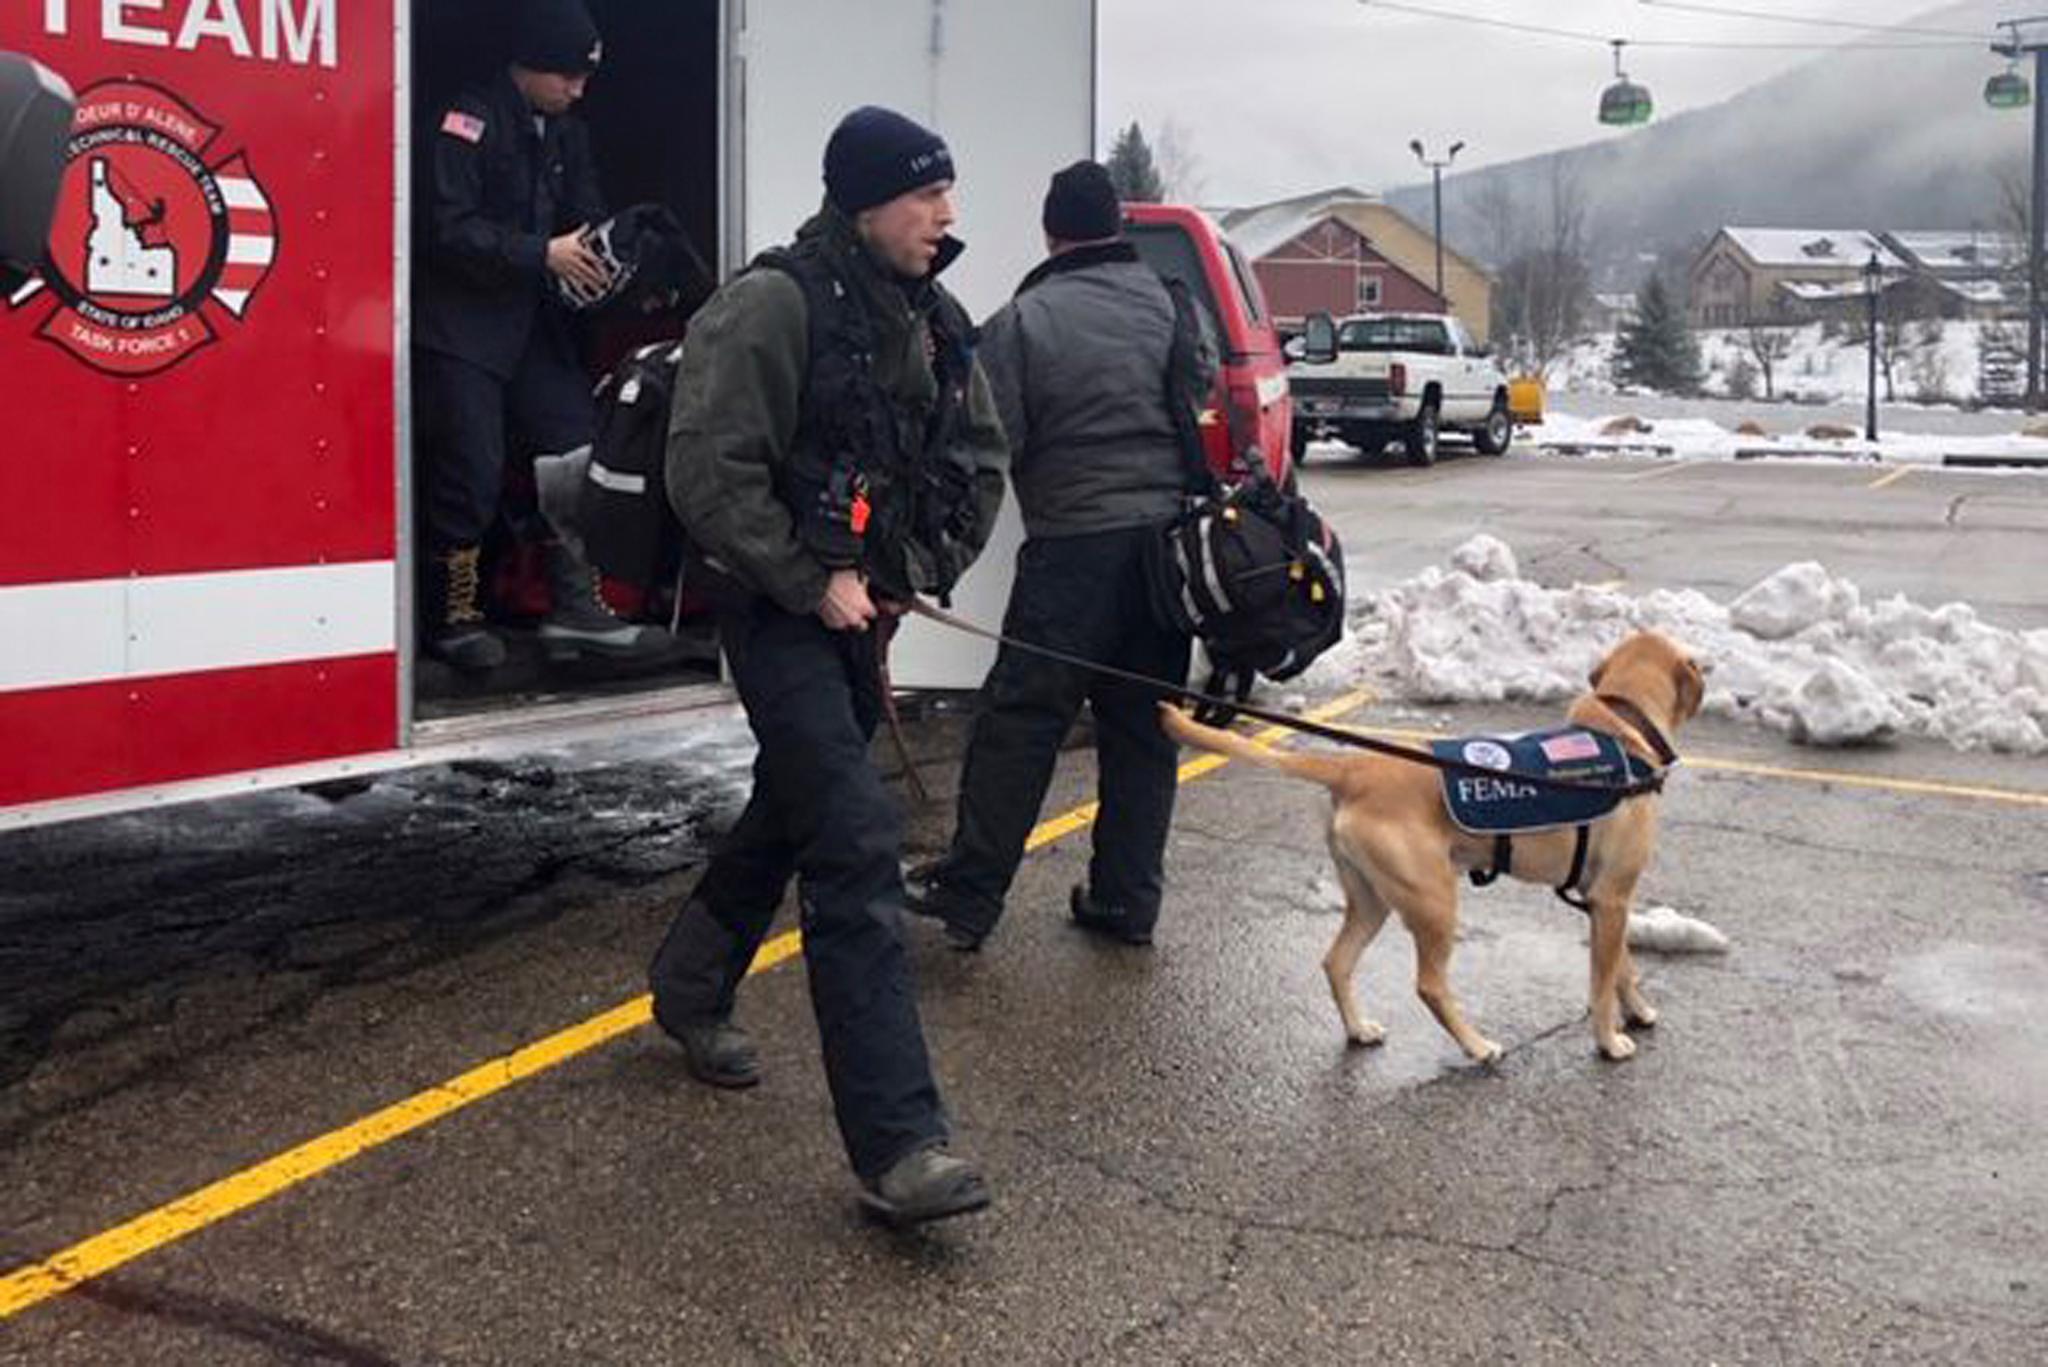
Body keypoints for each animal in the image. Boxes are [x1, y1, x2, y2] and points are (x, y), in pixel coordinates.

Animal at [1163, 635, 1703, 1065]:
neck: (1623, 723)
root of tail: (1354, 769)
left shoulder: (1604, 901)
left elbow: (1622, 968)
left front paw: (1638, 1011)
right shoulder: (1612, 898)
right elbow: (1603, 982)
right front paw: (1609, 1041)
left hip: (1372, 900)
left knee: (1336, 962)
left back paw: (1359, 1029)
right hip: (1434, 900)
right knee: (1429, 985)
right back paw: (1478, 1046)